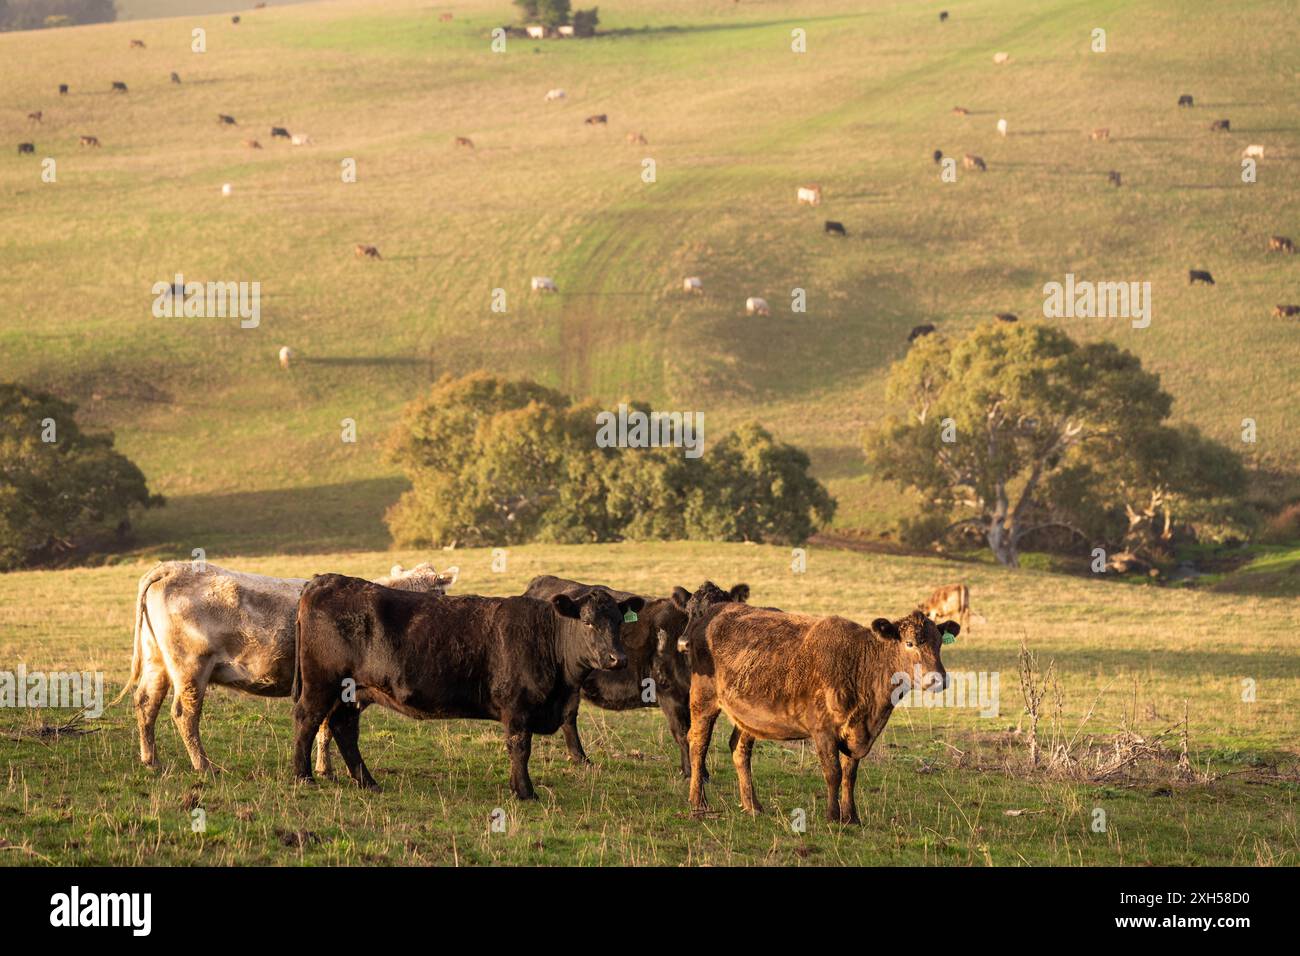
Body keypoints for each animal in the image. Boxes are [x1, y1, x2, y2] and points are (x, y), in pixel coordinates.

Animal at [117, 561, 454, 773]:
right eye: (441, 592)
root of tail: (172, 567)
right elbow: (327, 726)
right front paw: (325, 769)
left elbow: (324, 726)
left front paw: (324, 767)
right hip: (190, 666)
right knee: (184, 714)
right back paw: (204, 766)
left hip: (157, 662)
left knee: (146, 703)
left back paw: (152, 761)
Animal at [291, 575, 641, 797]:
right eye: (587, 622)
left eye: (618, 621)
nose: (618, 658)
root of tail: (325, 580)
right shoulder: (517, 708)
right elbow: (519, 747)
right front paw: (525, 791)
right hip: (322, 683)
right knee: (307, 719)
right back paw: (303, 776)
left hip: (353, 692)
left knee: (343, 728)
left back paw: (367, 782)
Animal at [522, 575, 748, 777]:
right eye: (691, 613)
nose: (685, 643)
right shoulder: (669, 693)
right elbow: (684, 733)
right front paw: (690, 772)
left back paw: (581, 760)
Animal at [680, 584, 959, 823]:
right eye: (909, 643)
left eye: (938, 643)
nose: (938, 679)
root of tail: (714, 612)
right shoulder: (823, 730)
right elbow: (833, 772)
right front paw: (833, 816)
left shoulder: (855, 731)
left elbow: (850, 774)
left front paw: (851, 817)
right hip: (703, 698)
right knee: (698, 744)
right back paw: (698, 803)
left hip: (747, 715)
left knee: (739, 749)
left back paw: (752, 806)